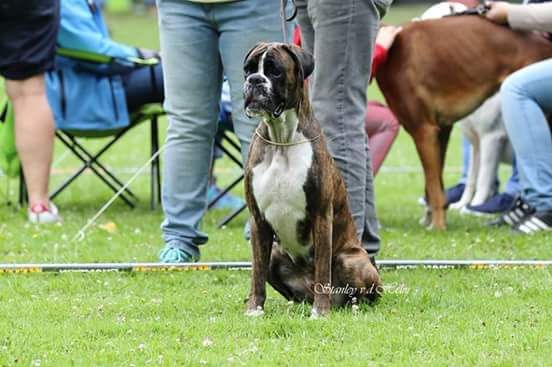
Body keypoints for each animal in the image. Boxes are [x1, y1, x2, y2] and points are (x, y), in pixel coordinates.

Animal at [244, 42, 382, 320]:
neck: (282, 140)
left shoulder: (321, 215)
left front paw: (320, 312)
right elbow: (257, 273)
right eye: (248, 69)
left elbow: (322, 269)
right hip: (275, 254)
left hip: (352, 259)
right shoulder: (258, 219)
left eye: (274, 70)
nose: (254, 80)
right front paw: (255, 309)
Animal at [378, 18, 552, 230]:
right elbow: (433, 187)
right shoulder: (440, 132)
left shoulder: (424, 131)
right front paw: (431, 220)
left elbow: (434, 190)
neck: (392, 50)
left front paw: (438, 227)